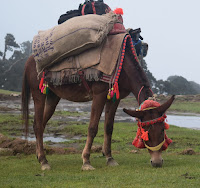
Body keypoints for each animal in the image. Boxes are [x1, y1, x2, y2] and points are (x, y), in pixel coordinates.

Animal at [21, 47, 174, 170]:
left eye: (162, 130)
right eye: (145, 132)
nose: (157, 162)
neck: (123, 66)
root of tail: (29, 60)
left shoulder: (114, 97)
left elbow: (109, 127)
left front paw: (110, 158)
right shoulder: (99, 95)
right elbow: (92, 128)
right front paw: (86, 161)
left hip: (53, 95)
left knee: (40, 124)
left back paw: (39, 155)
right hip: (38, 91)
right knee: (38, 125)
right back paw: (44, 161)